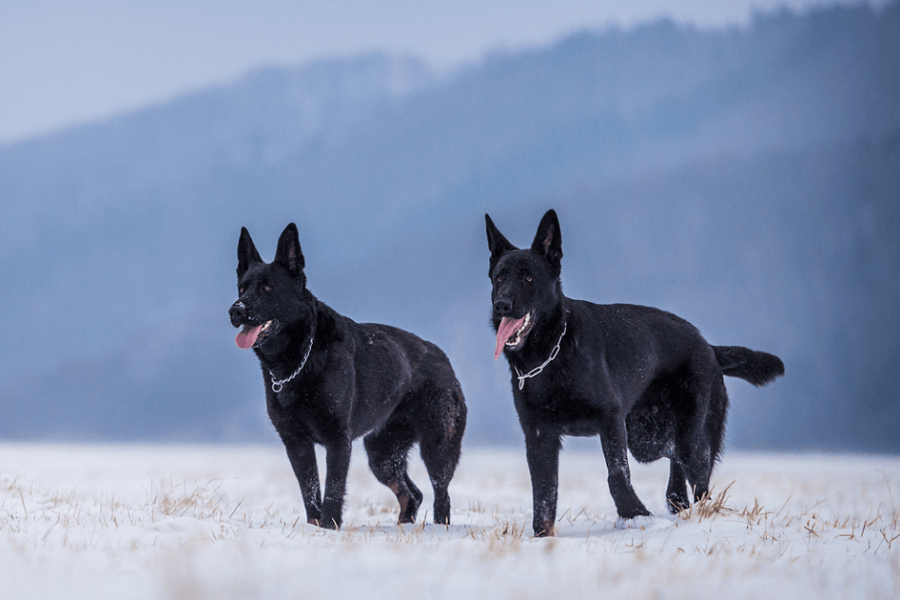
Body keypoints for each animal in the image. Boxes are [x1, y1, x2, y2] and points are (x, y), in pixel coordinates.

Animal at [229, 225, 468, 528]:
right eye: (242, 288)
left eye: (268, 288)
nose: (235, 310)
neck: (300, 360)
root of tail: (444, 360)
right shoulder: (297, 444)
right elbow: (309, 491)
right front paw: (314, 527)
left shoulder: (338, 440)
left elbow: (332, 488)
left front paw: (329, 527)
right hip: (383, 457)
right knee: (412, 494)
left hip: (437, 448)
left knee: (441, 494)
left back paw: (439, 528)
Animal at [486, 210, 780, 536]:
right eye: (499, 278)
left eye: (529, 278)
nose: (501, 305)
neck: (550, 354)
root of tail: (707, 345)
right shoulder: (539, 437)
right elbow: (543, 492)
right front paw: (542, 535)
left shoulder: (610, 419)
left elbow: (616, 474)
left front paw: (635, 514)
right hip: (646, 437)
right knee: (676, 463)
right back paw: (679, 505)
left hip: (684, 435)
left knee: (698, 472)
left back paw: (702, 513)